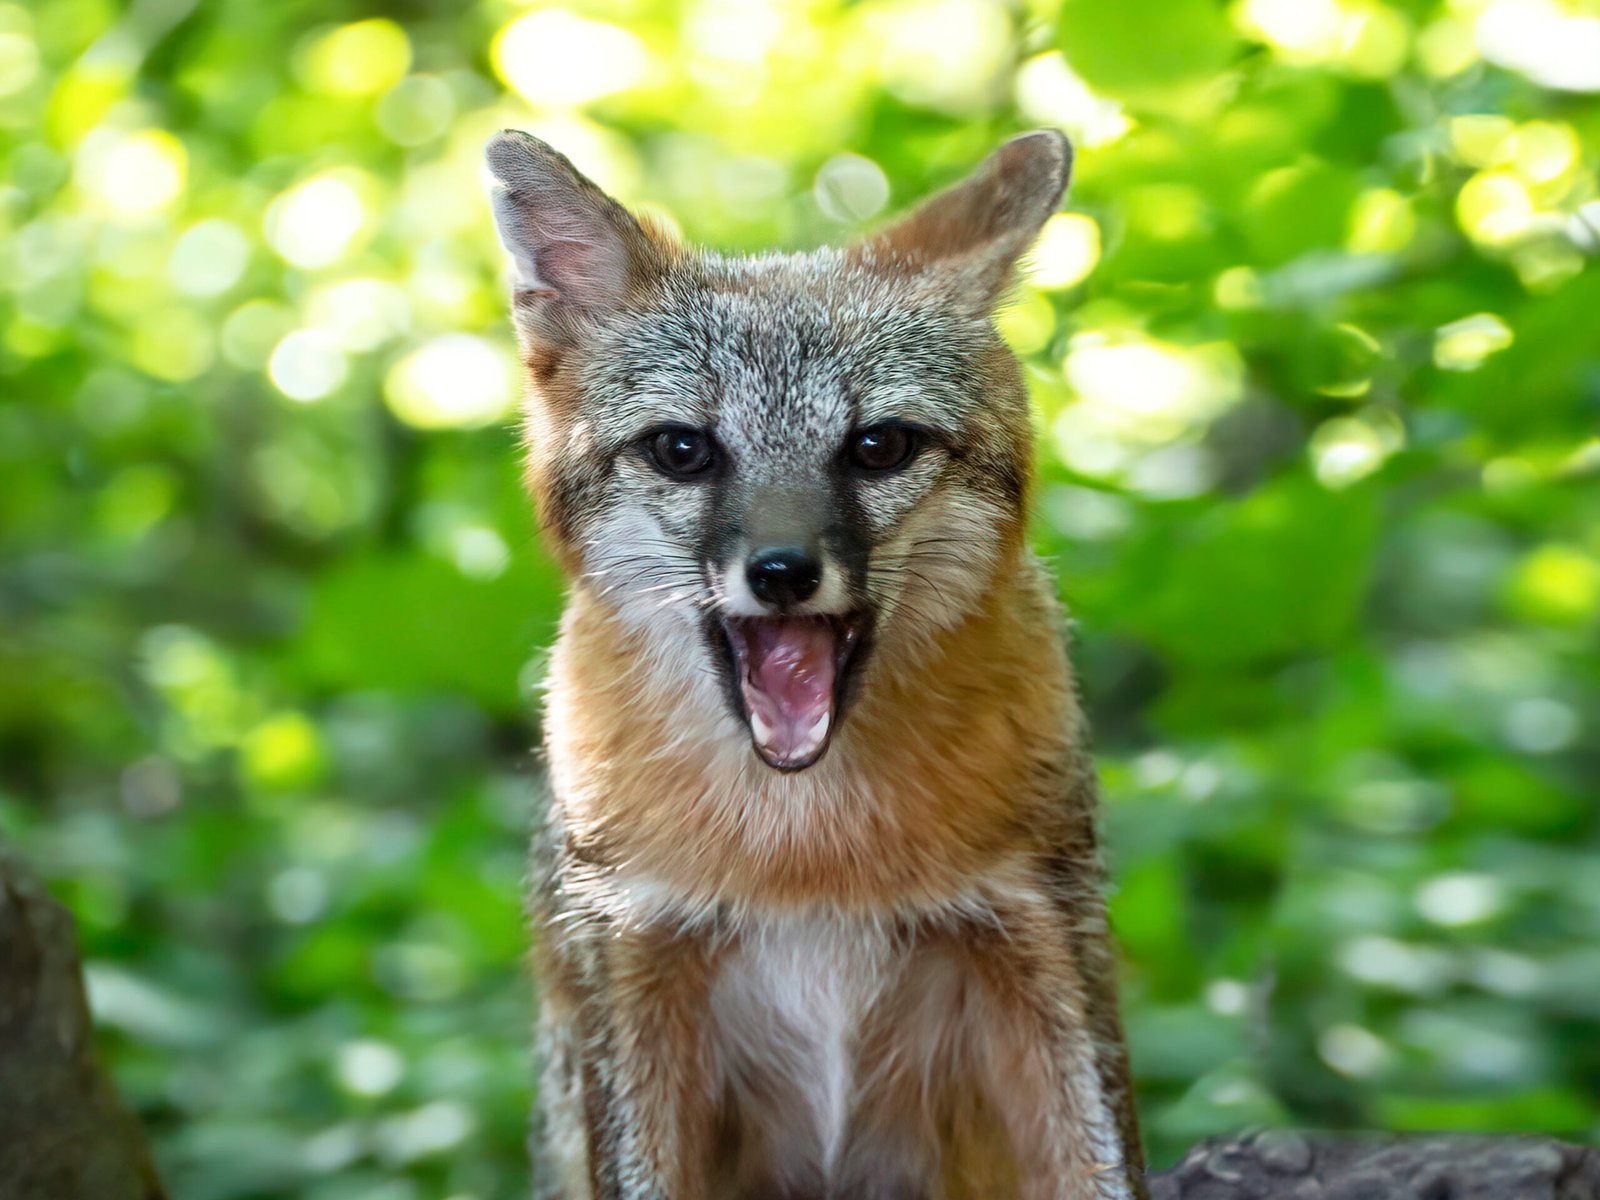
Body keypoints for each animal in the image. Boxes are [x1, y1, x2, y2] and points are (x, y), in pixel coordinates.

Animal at [485, 128, 1148, 1200]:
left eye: (879, 446)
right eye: (683, 450)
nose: (784, 572)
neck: (808, 850)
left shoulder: (1042, 927)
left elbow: (1103, 1169)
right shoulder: (630, 954)